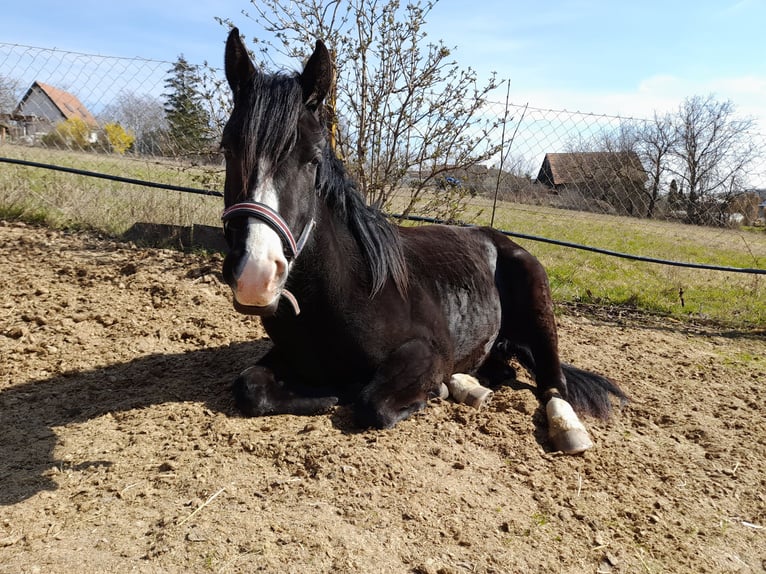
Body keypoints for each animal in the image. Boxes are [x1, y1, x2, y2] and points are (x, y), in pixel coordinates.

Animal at [219, 29, 628, 454]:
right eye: (227, 149)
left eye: (313, 159)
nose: (256, 275)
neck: (342, 290)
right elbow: (249, 386)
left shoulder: (425, 352)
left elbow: (372, 402)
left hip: (540, 307)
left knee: (553, 384)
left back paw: (563, 427)